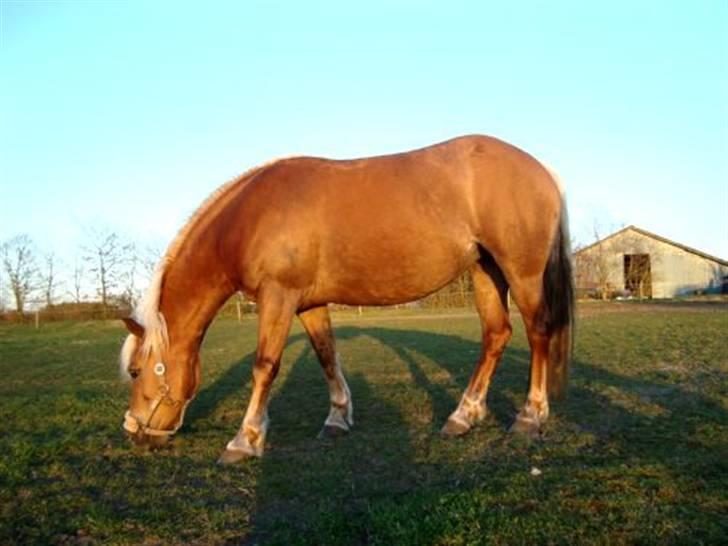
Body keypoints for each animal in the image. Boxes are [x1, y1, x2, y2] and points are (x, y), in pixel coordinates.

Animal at [119, 134, 576, 462]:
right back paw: (462, 417)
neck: (251, 217)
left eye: (137, 371)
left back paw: (530, 416)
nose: (134, 434)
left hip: (522, 272)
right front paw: (337, 418)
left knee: (537, 331)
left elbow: (264, 366)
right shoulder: (308, 303)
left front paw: (244, 440)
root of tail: (543, 171)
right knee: (496, 335)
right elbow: (326, 355)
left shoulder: (278, 297)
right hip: (485, 271)